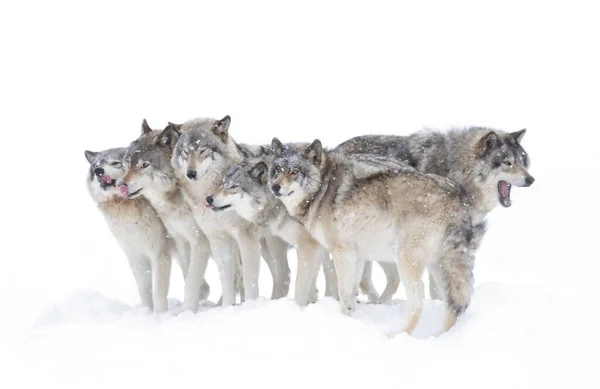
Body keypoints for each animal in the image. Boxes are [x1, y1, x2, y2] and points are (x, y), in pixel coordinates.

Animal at [85, 146, 173, 312]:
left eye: (115, 163)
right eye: (96, 166)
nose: (99, 171)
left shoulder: (159, 254)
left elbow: (158, 293)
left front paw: (160, 315)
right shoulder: (135, 256)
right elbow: (144, 290)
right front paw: (147, 313)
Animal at [116, 119, 212, 310]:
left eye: (144, 165)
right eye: (128, 163)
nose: (120, 184)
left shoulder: (200, 238)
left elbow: (192, 277)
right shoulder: (181, 236)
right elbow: (188, 273)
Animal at [170, 113, 292, 304]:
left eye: (203, 150)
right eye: (185, 152)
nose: (190, 173)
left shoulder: (245, 238)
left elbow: (249, 280)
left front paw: (250, 305)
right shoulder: (218, 239)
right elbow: (227, 280)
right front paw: (228, 307)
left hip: (274, 241)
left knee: (284, 274)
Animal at [268, 139, 478, 334]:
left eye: (295, 171)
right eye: (277, 169)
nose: (275, 187)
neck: (323, 188)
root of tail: (458, 197)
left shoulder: (341, 252)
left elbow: (339, 292)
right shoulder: (357, 255)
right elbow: (351, 293)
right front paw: (352, 319)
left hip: (407, 261)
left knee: (419, 301)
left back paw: (397, 335)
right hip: (440, 267)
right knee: (454, 304)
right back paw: (441, 335)